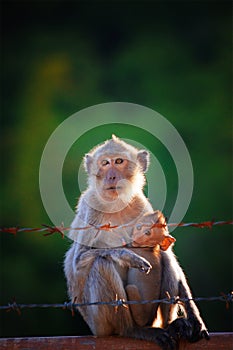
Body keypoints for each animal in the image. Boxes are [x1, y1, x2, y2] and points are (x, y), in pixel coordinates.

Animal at [64, 135, 209, 348]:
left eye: (118, 161)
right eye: (105, 163)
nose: (111, 177)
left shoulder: (141, 205)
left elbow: (165, 249)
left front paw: (195, 317)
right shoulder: (90, 208)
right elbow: (79, 260)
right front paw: (127, 255)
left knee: (164, 259)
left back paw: (172, 325)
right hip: (99, 323)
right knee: (100, 264)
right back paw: (132, 330)